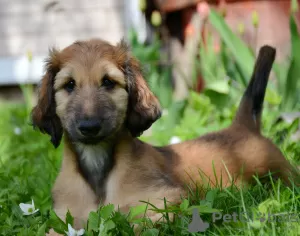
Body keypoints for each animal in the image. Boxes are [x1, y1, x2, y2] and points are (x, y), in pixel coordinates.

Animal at [31, 39, 298, 233]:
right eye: (69, 84)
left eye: (108, 82)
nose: (89, 127)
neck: (98, 169)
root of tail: (244, 126)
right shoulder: (65, 218)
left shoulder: (166, 202)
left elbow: (136, 226)